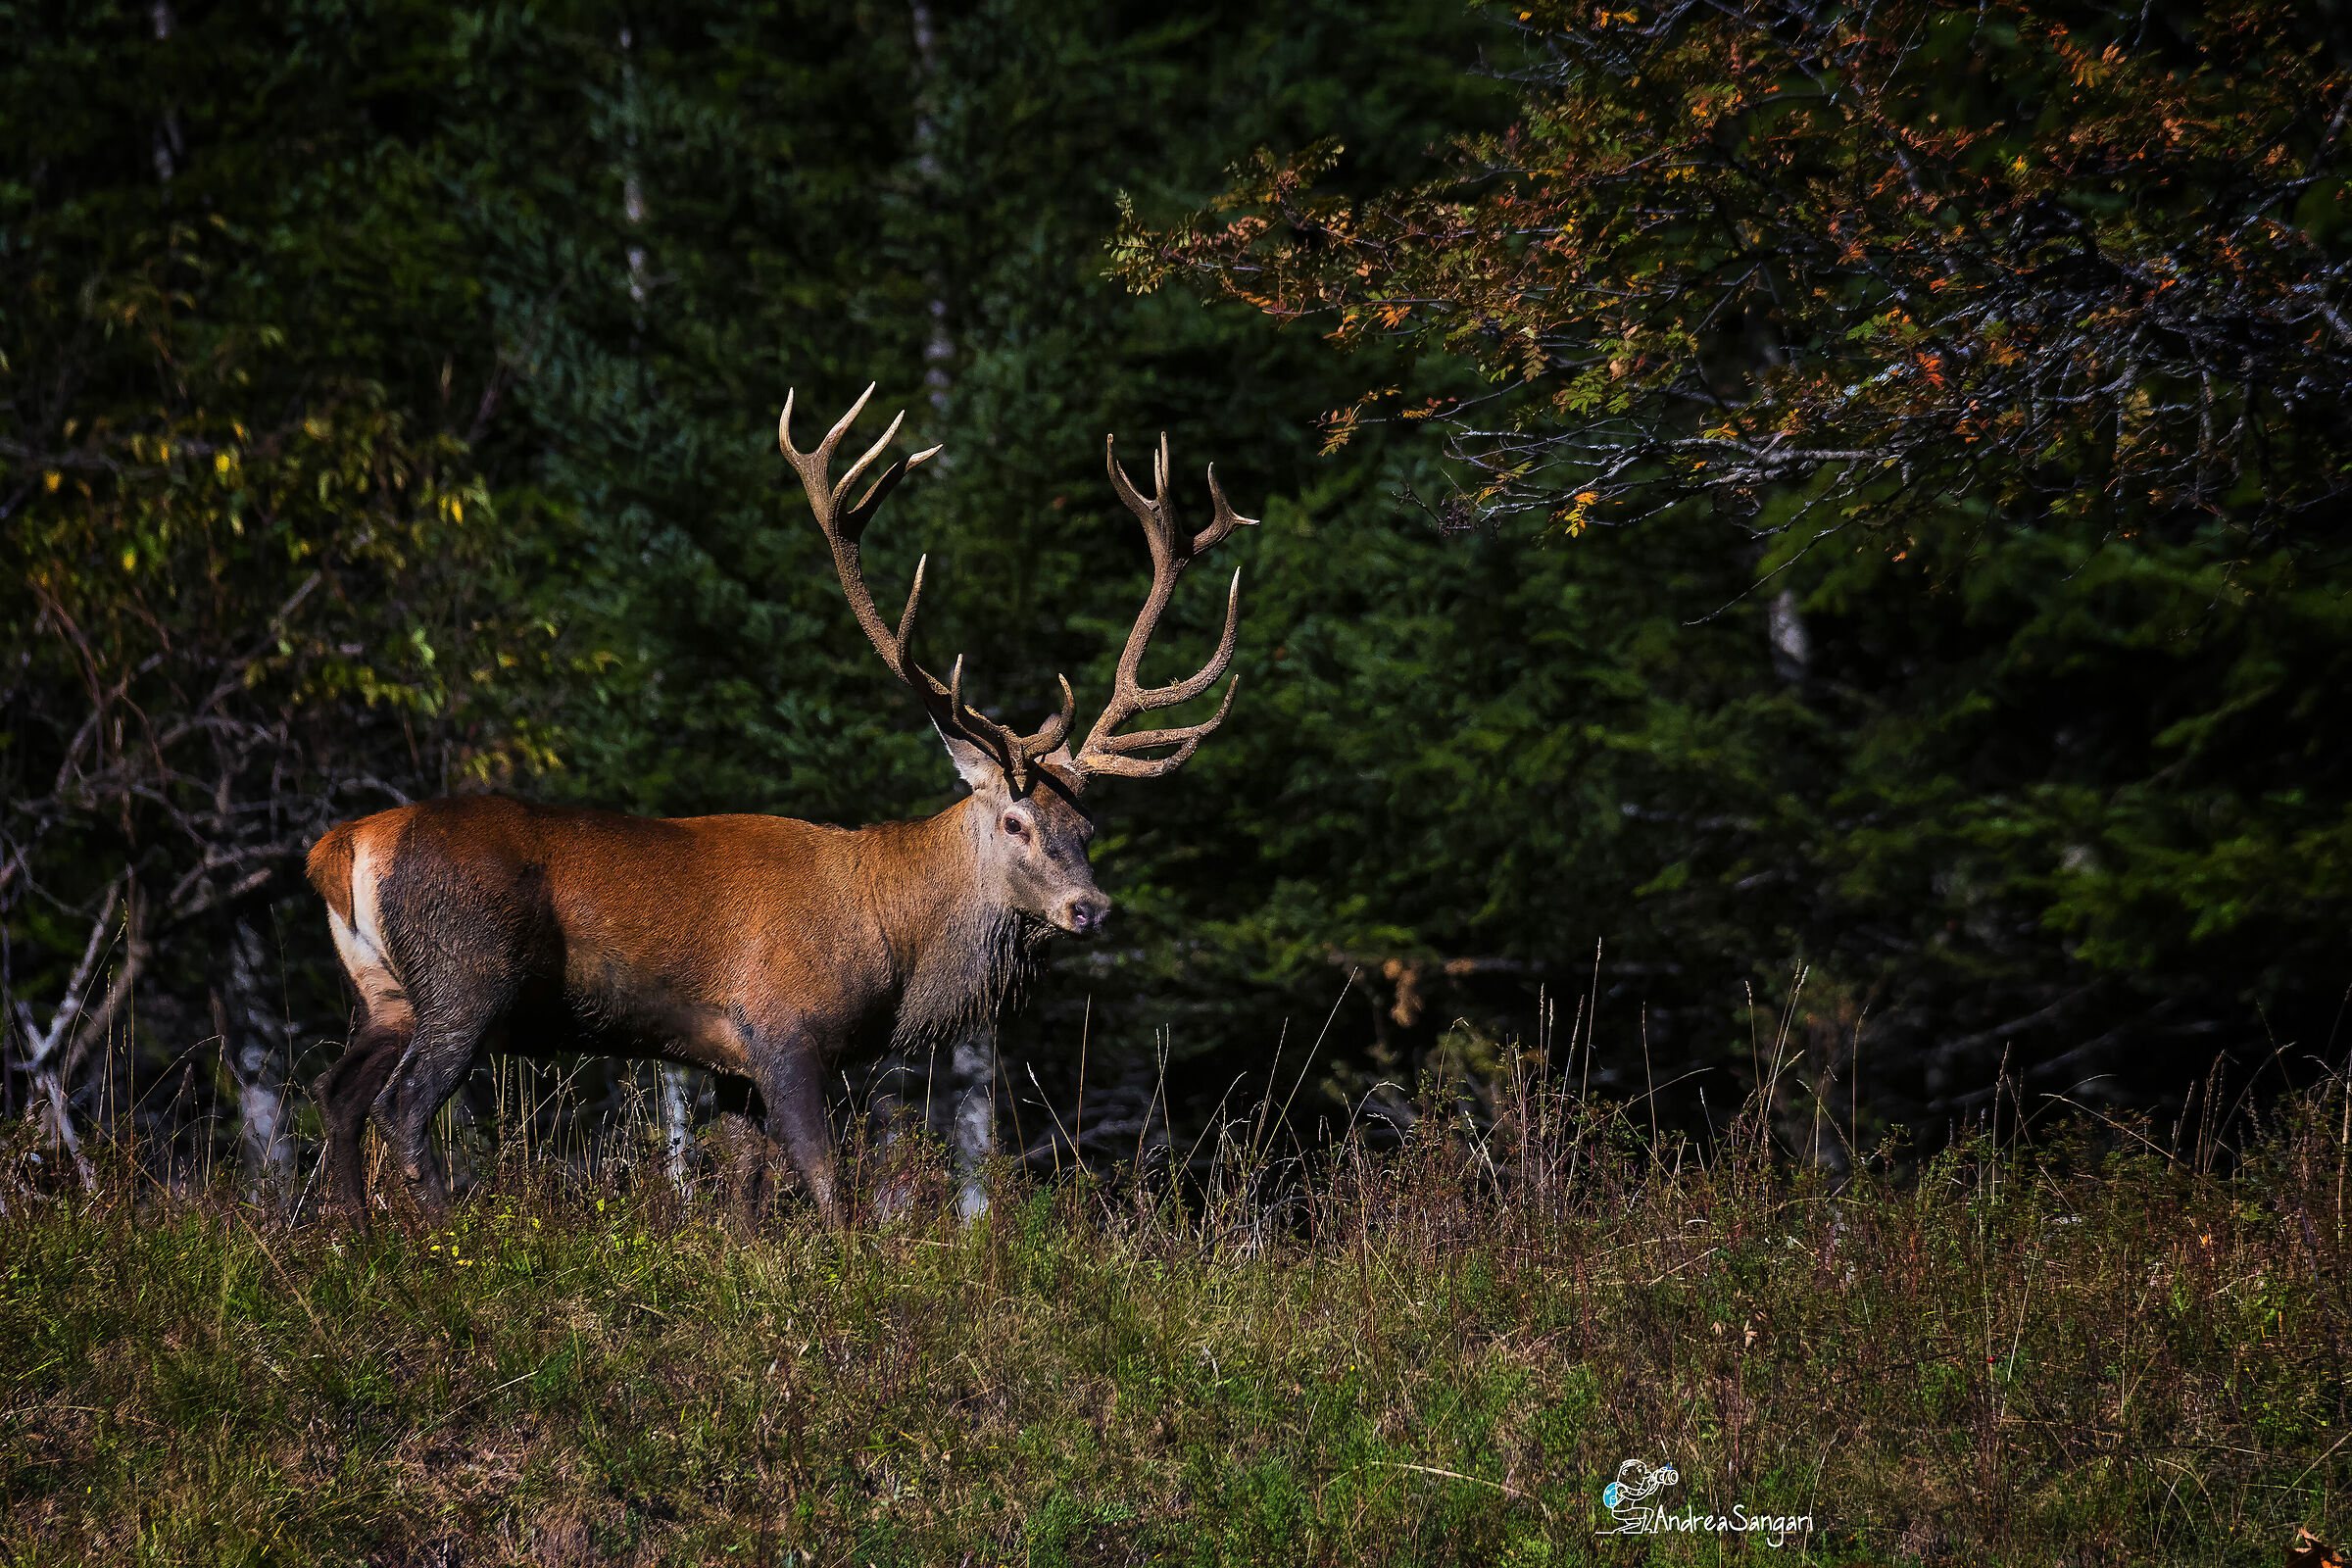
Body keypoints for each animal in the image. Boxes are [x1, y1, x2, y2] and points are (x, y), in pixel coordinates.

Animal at [304, 386, 1252, 1225]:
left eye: (1087, 828)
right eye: (1015, 821)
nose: (1091, 908)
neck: (891, 940)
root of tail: (344, 845)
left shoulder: (727, 1062)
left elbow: (746, 1202)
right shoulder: (786, 1030)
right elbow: (831, 1190)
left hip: (385, 991)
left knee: (337, 1093)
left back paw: (354, 1236)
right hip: (466, 975)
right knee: (403, 1107)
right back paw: (438, 1238)